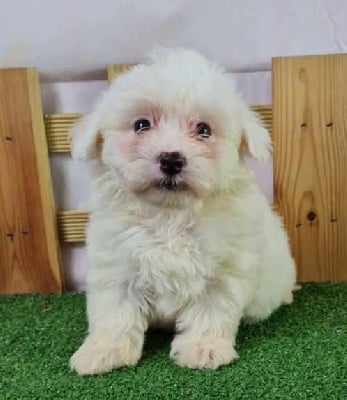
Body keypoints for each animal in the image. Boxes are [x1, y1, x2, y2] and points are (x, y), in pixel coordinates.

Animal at [70, 47, 296, 376]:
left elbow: (211, 310)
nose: (171, 159)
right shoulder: (117, 265)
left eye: (204, 130)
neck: (169, 216)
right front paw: (104, 351)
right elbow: (115, 312)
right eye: (141, 125)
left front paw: (203, 348)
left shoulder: (225, 269)